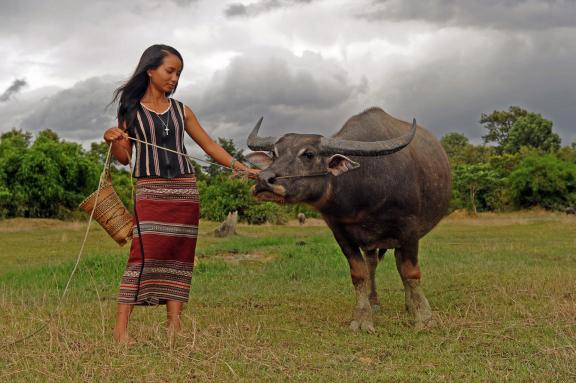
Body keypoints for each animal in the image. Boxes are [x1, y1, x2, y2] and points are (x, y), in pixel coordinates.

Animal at [245, 106, 452, 332]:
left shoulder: (409, 229)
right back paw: (374, 302)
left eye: (308, 154)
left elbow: (411, 272)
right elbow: (359, 274)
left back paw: (410, 305)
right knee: (372, 264)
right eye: (274, 153)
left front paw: (425, 318)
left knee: (399, 265)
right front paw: (362, 318)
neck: (362, 196)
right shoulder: (340, 231)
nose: (263, 180)